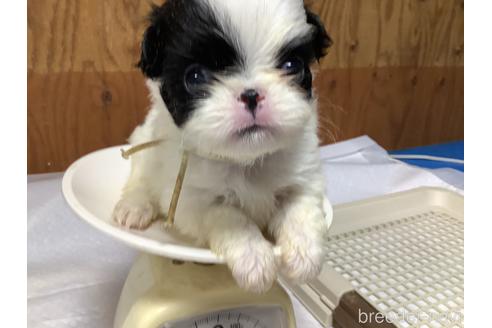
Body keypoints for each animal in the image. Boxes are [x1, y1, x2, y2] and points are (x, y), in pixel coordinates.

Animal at [113, 0, 332, 292]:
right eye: (196, 77)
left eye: (291, 65)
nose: (251, 94)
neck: (246, 161)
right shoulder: (193, 202)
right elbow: (230, 216)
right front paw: (255, 260)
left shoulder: (304, 178)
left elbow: (300, 209)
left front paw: (305, 255)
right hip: (143, 144)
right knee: (140, 179)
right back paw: (134, 208)